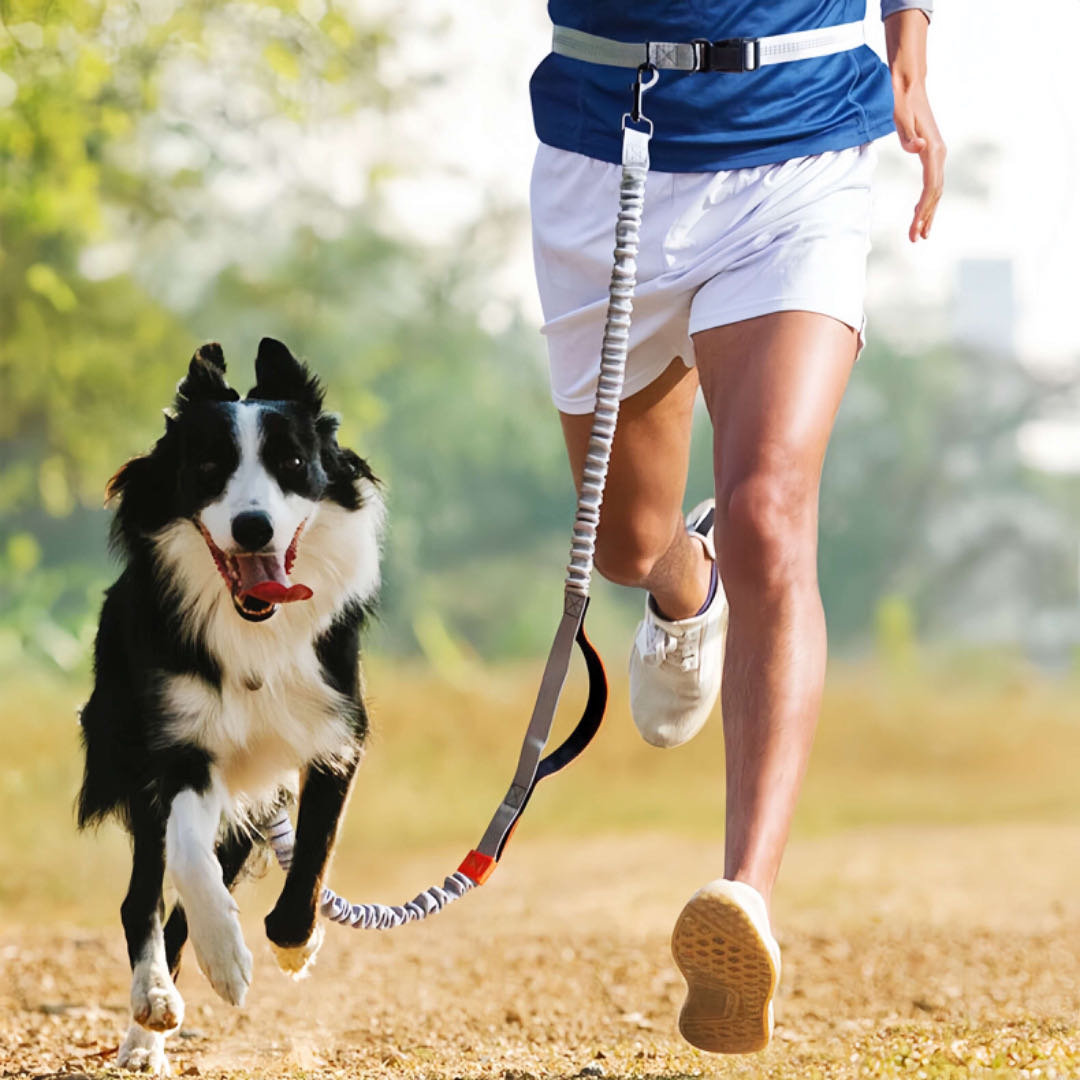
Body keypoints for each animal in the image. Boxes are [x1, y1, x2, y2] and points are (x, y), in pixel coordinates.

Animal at [76, 339, 382, 1071]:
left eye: (292, 464)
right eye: (209, 467)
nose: (253, 527)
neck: (255, 634)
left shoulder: (336, 734)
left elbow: (315, 851)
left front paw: (295, 943)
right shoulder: (180, 746)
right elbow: (188, 857)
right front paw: (227, 959)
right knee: (143, 897)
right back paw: (151, 1012)